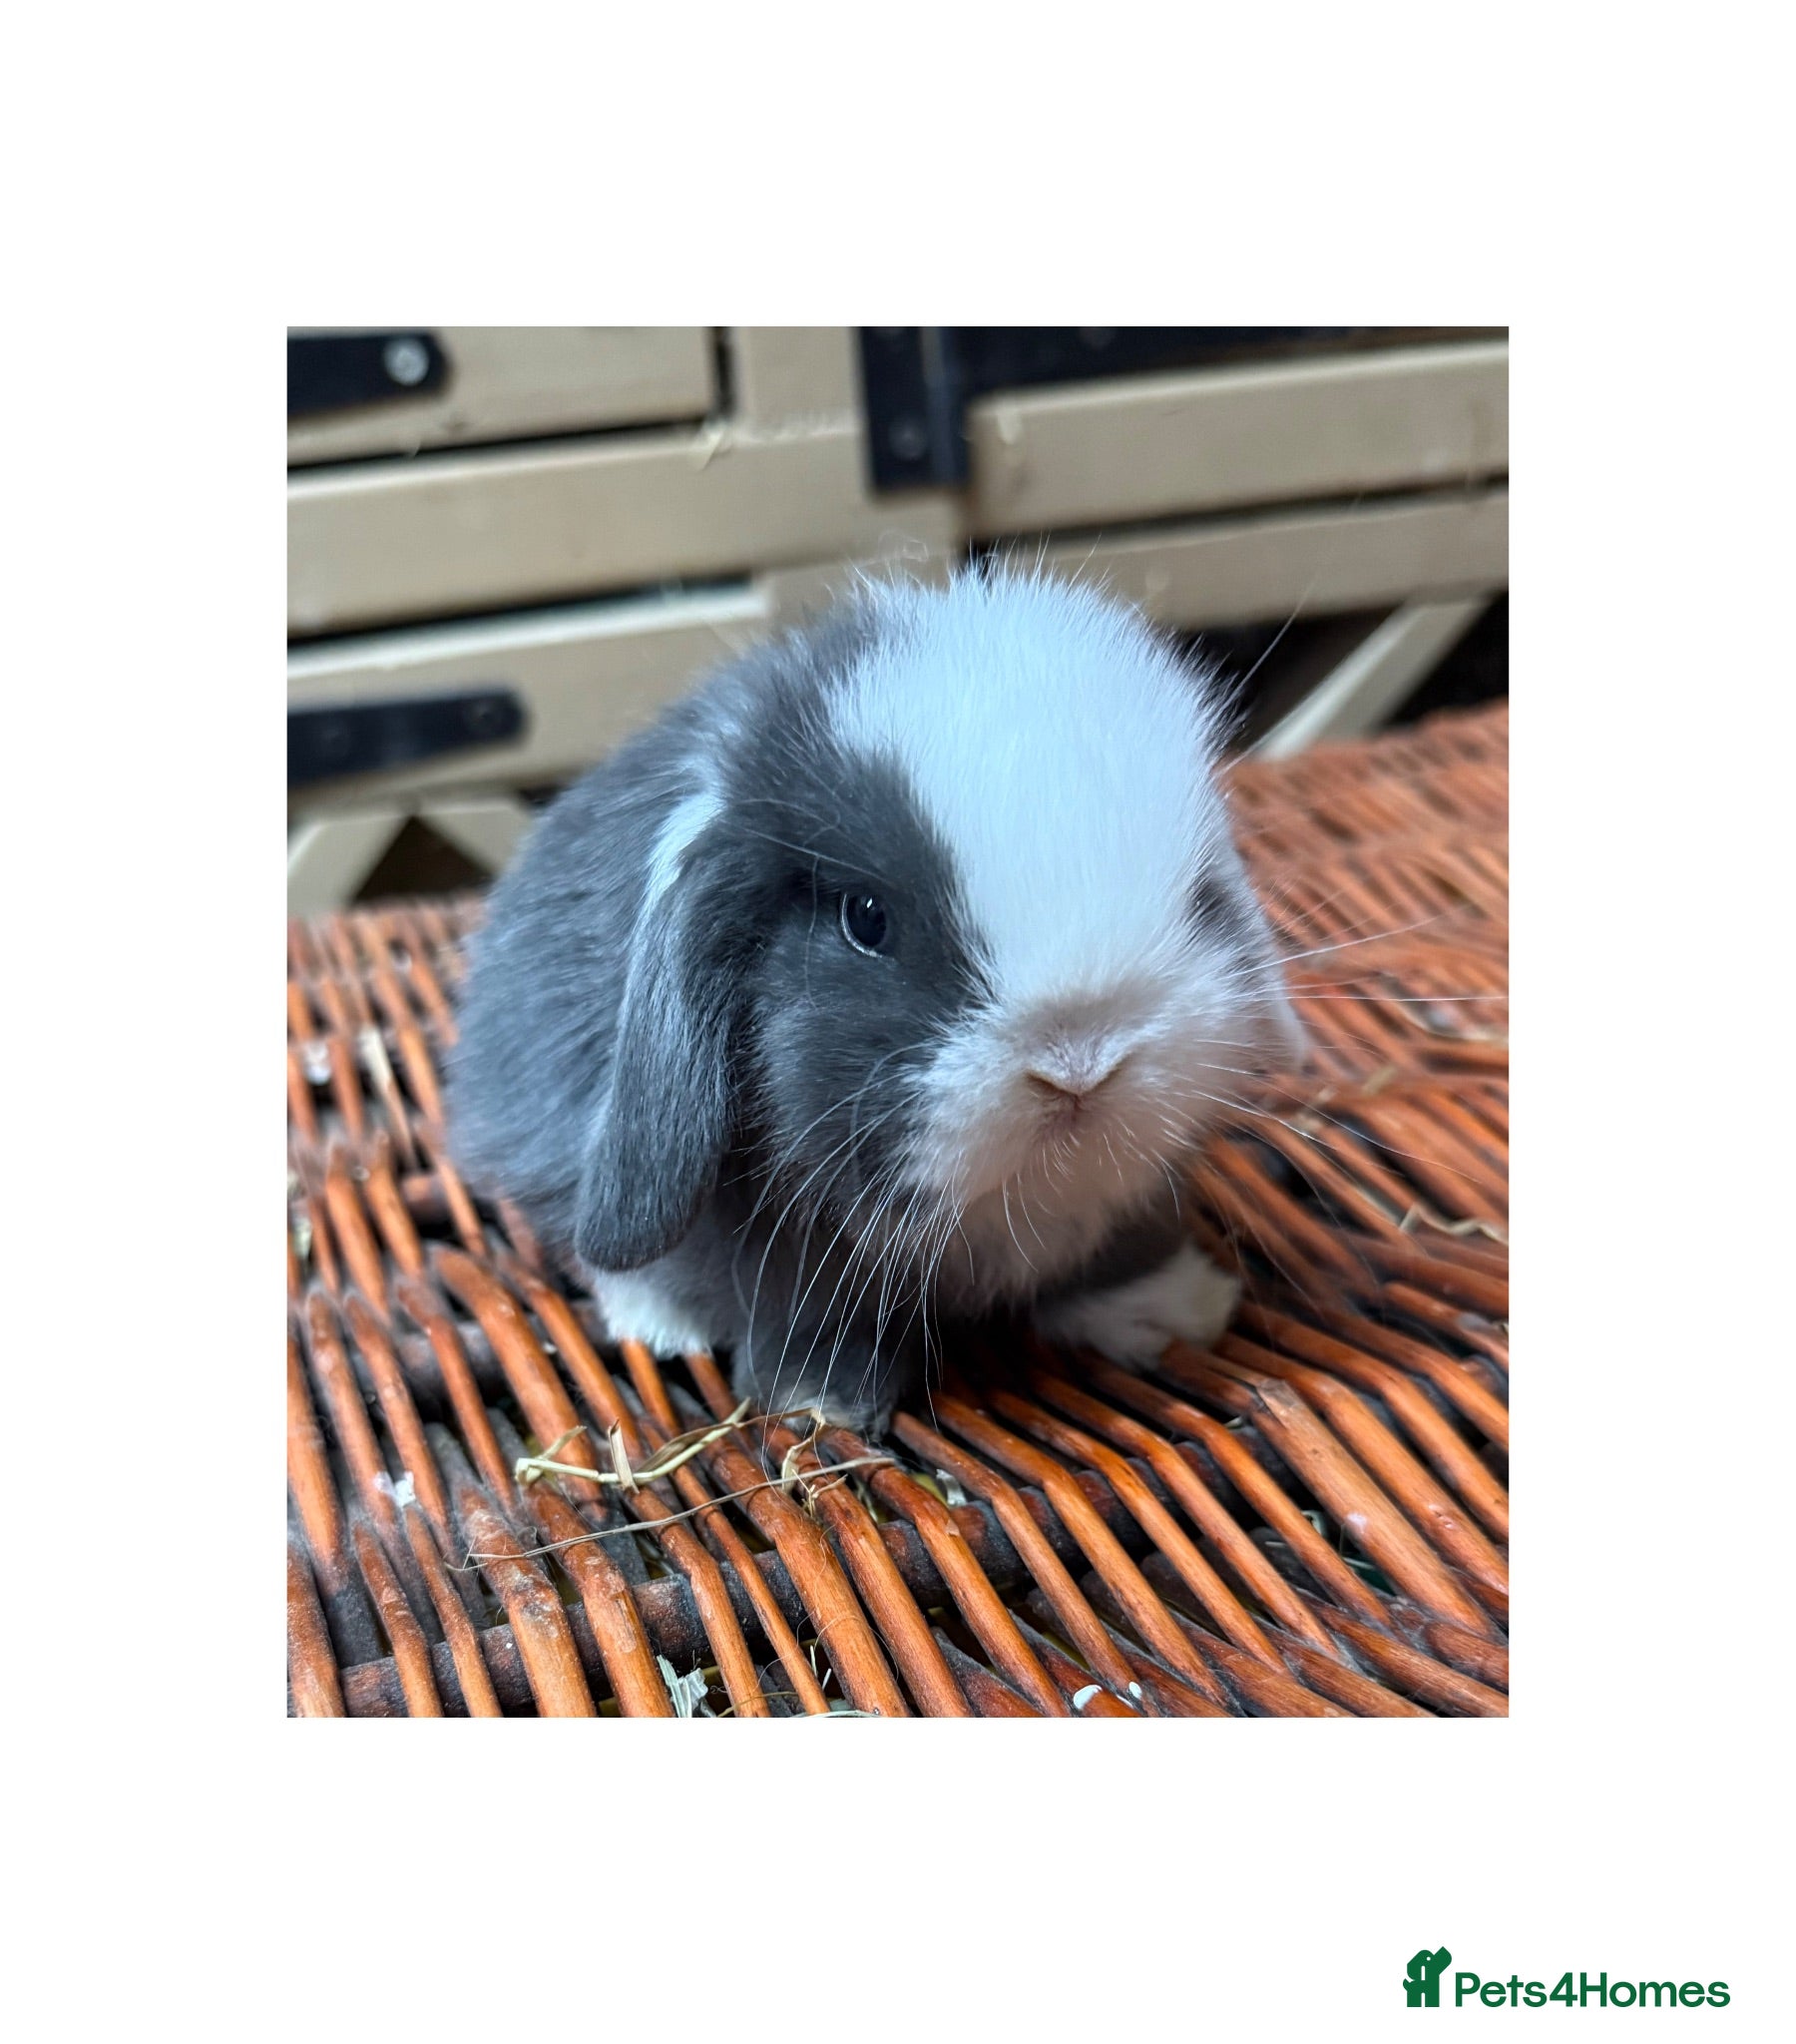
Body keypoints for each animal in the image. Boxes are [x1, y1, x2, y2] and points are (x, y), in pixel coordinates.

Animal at [446, 566, 1303, 1433]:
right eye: (866, 918)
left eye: (1199, 898)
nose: (1079, 1063)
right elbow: (798, 1304)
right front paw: (820, 1398)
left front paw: (1176, 1310)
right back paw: (657, 1321)